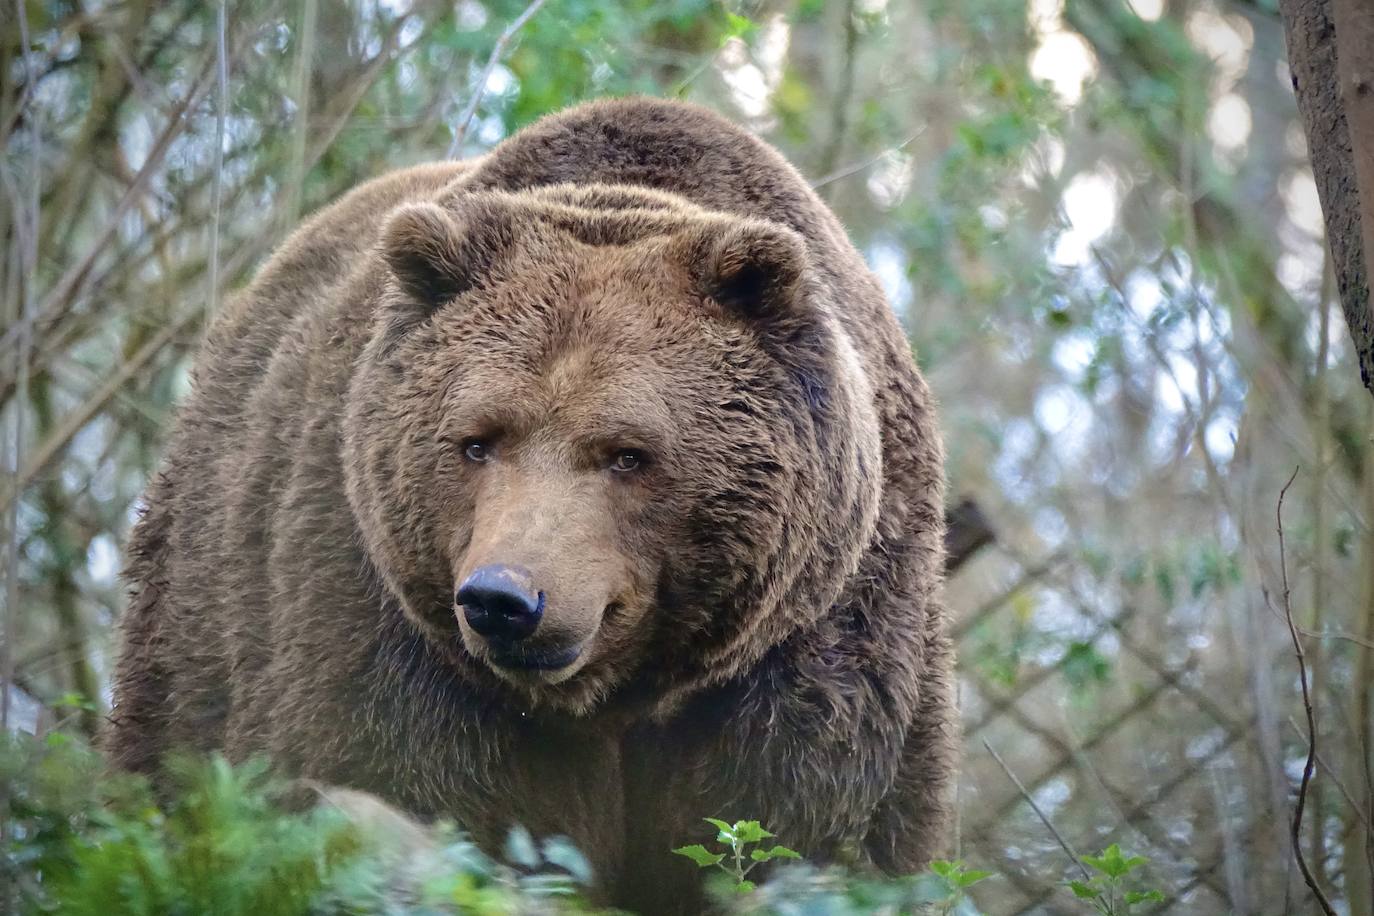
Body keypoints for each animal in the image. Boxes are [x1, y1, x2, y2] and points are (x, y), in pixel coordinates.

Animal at [104, 96, 956, 911]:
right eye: (477, 441)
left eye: (628, 453)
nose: (504, 599)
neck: (615, 696)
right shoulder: (392, 630)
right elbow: (405, 797)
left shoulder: (810, 645)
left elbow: (795, 832)